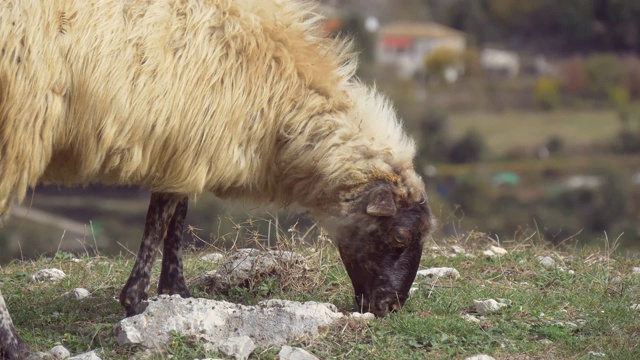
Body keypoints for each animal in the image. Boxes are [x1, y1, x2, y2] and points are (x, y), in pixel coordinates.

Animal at [0, 0, 436, 358]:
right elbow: (161, 219)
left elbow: (176, 216)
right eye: (399, 238)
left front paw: (175, 292)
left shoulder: (187, 146)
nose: (390, 308)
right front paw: (137, 300)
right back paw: (17, 345)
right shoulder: (186, 137)